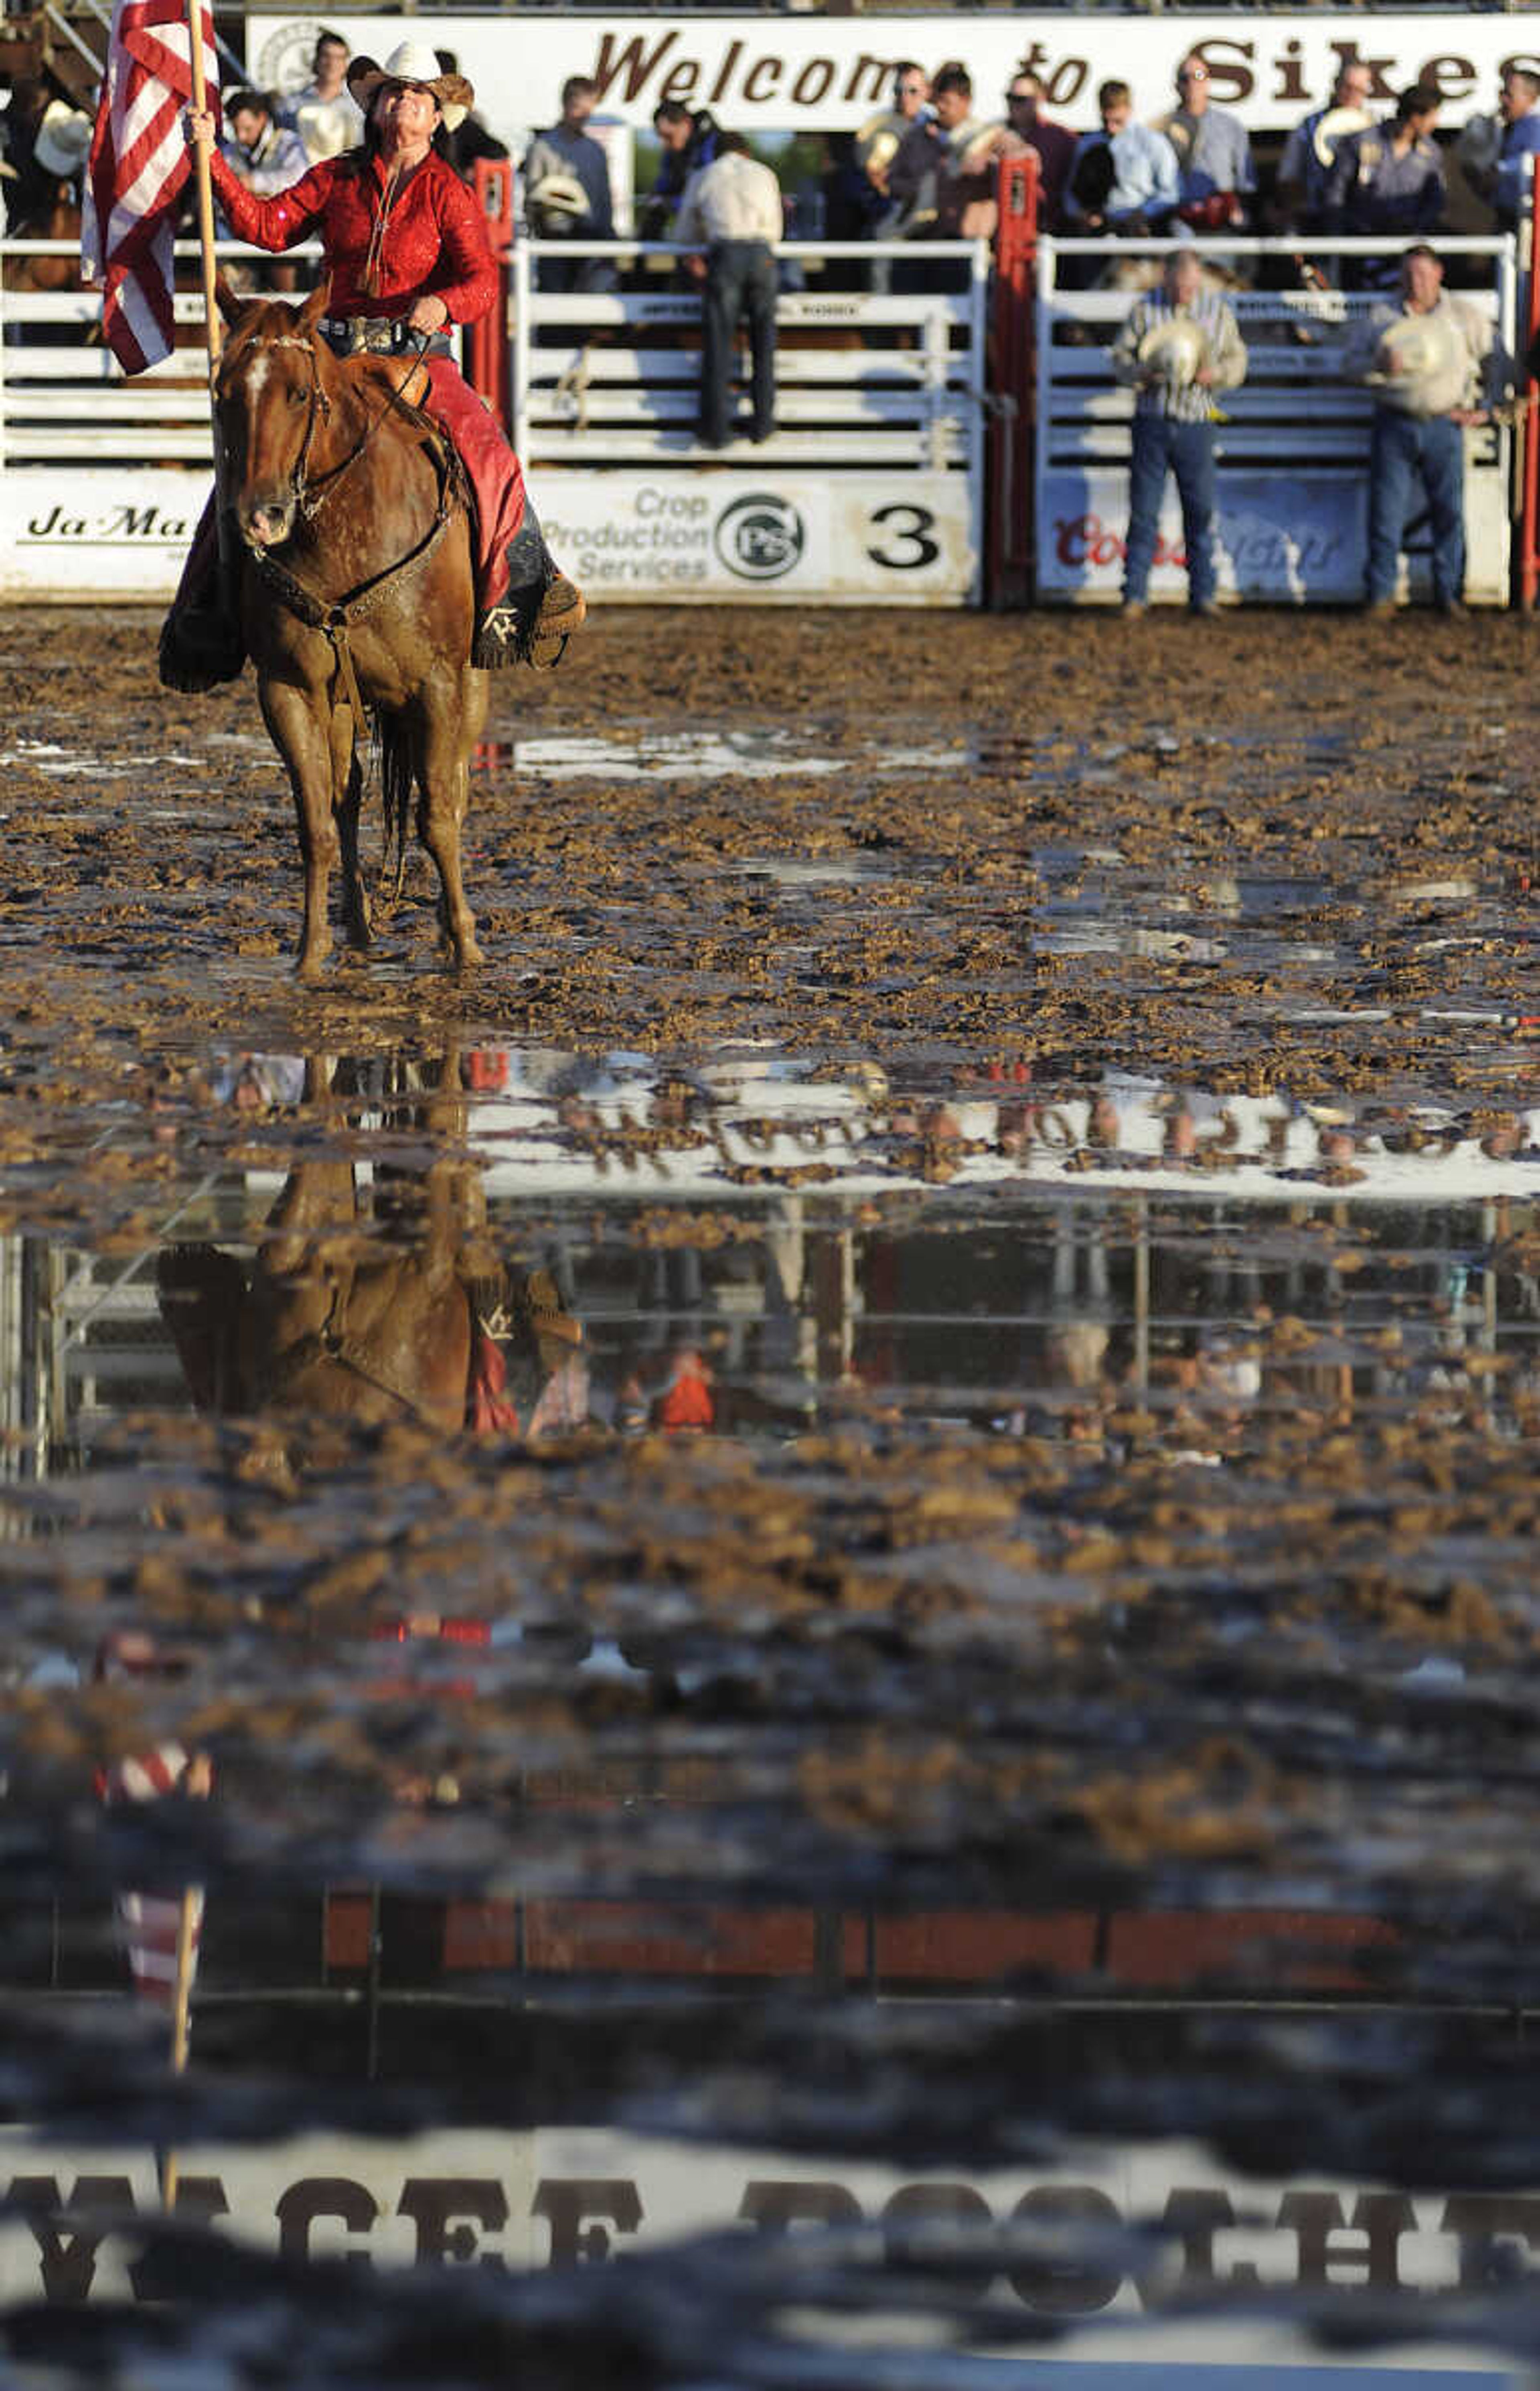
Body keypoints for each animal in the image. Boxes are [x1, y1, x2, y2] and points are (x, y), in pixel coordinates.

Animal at [211, 277, 488, 980]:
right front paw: (310, 954)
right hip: (343, 701)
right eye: (223, 391)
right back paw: (359, 929)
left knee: (453, 790)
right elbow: (316, 823)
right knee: (350, 795)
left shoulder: (440, 684)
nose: (259, 516)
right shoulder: (289, 689)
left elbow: (437, 814)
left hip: (472, 685)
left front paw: (465, 944)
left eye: (298, 392)